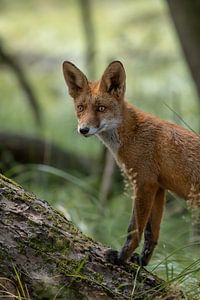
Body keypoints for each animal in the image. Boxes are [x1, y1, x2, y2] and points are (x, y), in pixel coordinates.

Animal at [63, 59, 200, 266]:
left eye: (101, 108)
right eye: (81, 108)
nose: (83, 130)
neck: (133, 133)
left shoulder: (143, 184)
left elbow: (134, 230)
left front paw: (121, 258)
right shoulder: (158, 188)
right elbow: (152, 233)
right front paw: (142, 261)